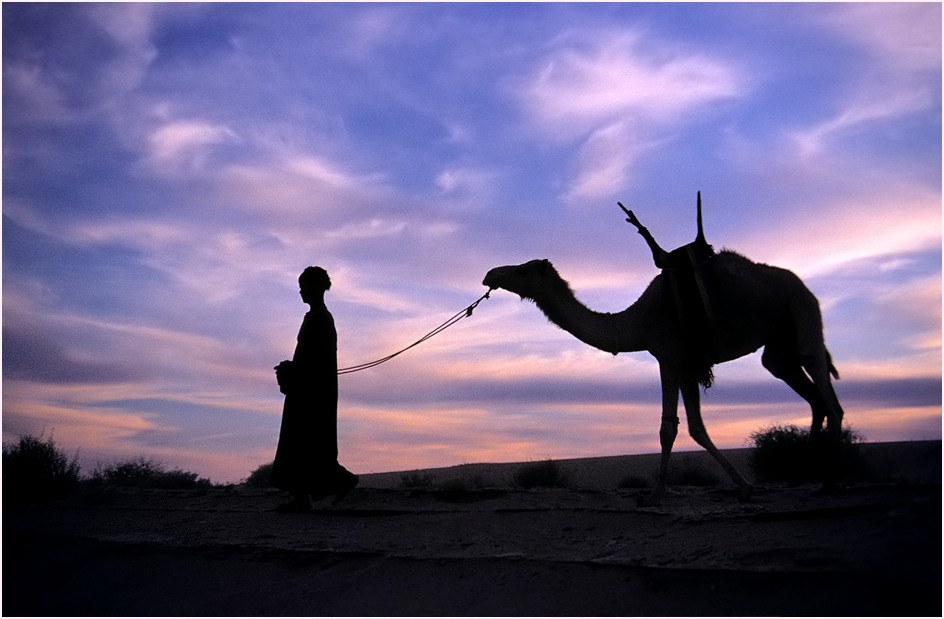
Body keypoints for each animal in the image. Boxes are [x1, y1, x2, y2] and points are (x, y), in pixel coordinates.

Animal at [484, 208, 844, 504]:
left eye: (524, 270)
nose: (490, 274)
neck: (635, 322)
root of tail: (801, 284)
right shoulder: (687, 363)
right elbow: (697, 427)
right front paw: (744, 487)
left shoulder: (668, 355)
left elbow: (667, 427)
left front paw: (655, 495)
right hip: (779, 341)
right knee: (801, 386)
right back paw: (806, 473)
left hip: (800, 306)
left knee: (825, 389)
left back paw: (829, 482)